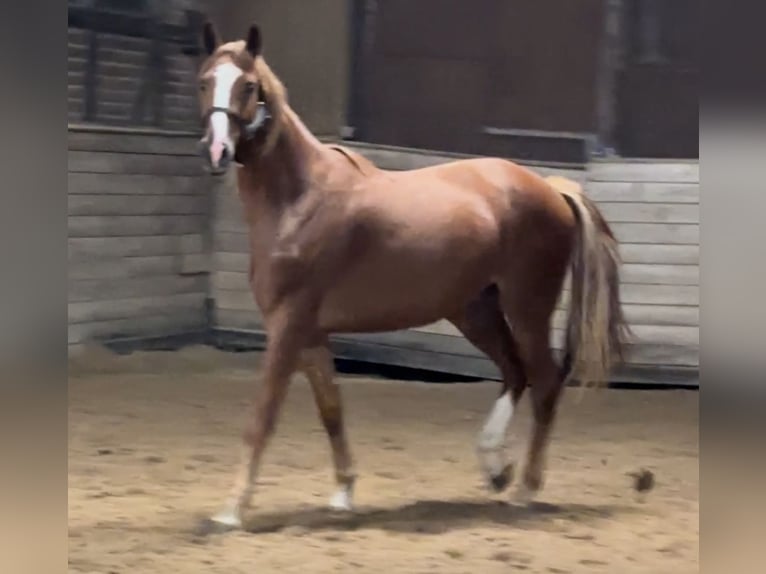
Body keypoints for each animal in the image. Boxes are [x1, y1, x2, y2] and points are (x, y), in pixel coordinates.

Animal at [195, 24, 628, 532]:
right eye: (205, 81)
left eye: (247, 86)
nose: (217, 151)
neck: (300, 199)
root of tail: (552, 189)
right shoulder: (312, 333)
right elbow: (331, 409)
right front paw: (343, 494)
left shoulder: (288, 325)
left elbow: (262, 417)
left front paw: (231, 510)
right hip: (475, 309)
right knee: (515, 373)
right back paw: (496, 470)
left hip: (526, 307)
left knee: (544, 382)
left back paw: (525, 489)